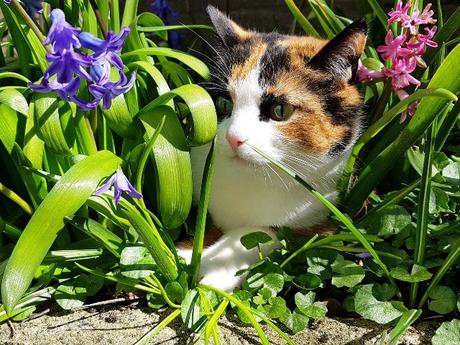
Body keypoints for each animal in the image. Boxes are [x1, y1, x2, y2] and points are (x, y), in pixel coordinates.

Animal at [176, 5, 366, 290]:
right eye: (223, 104)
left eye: (280, 110)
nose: (233, 137)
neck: (254, 179)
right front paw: (186, 252)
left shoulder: (321, 224)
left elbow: (259, 232)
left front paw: (213, 270)